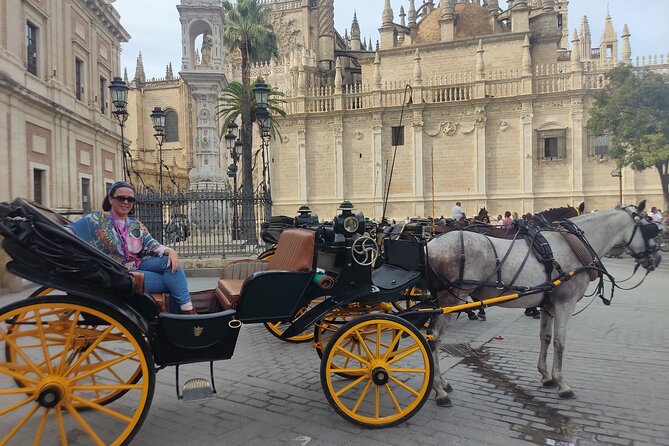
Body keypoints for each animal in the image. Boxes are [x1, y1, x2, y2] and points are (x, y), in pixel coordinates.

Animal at [426, 203, 660, 408]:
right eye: (650, 229)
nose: (657, 258)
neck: (572, 245)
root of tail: (430, 244)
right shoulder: (565, 303)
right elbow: (560, 342)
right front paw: (562, 384)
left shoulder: (548, 303)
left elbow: (545, 338)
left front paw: (546, 376)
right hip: (452, 300)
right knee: (435, 340)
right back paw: (440, 391)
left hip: (439, 301)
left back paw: (442, 382)